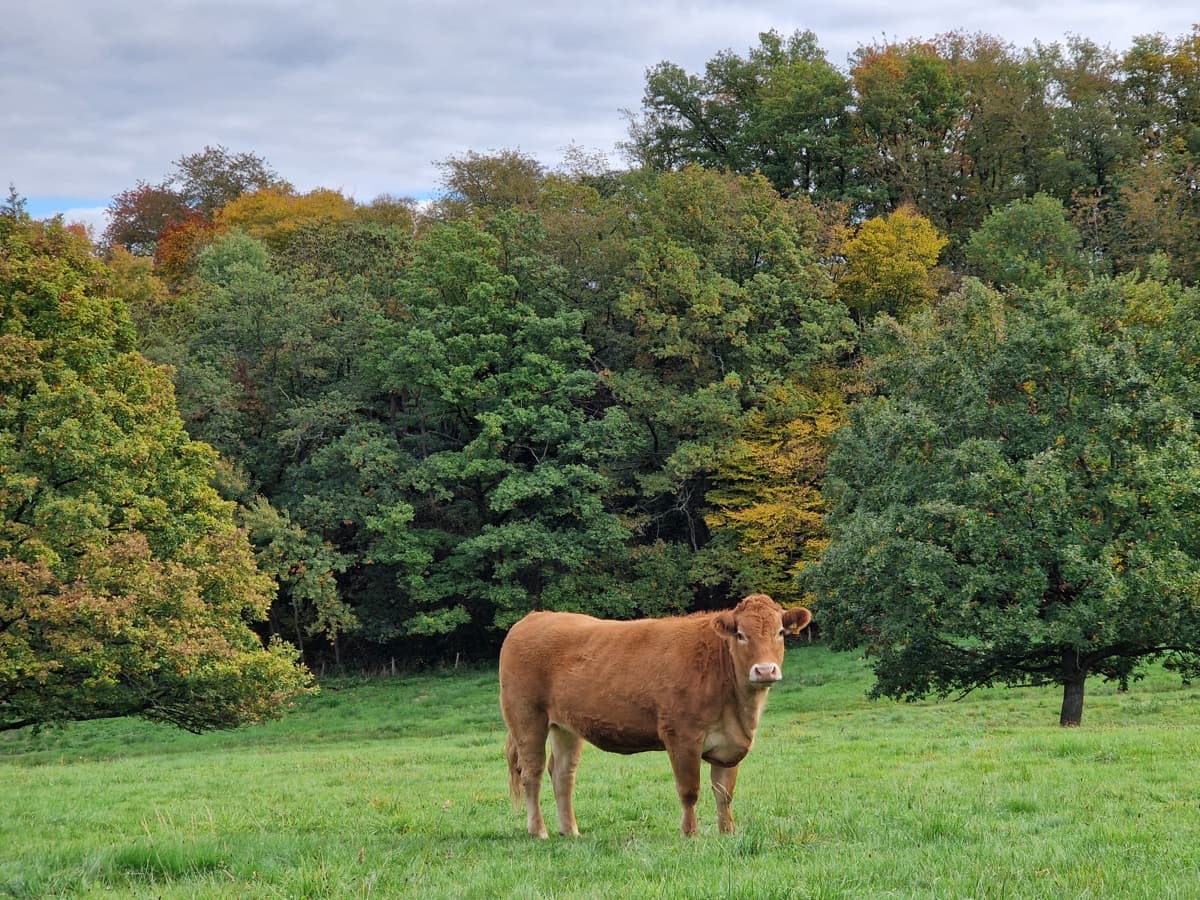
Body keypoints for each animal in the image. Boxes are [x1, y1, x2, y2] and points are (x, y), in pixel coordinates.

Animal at [499, 593, 812, 837]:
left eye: (780, 632)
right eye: (741, 634)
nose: (765, 670)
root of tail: (533, 618)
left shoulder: (729, 744)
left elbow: (724, 793)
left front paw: (728, 833)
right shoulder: (682, 737)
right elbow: (689, 790)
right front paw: (690, 834)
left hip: (566, 727)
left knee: (563, 773)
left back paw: (571, 831)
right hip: (526, 717)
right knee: (532, 773)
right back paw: (539, 831)